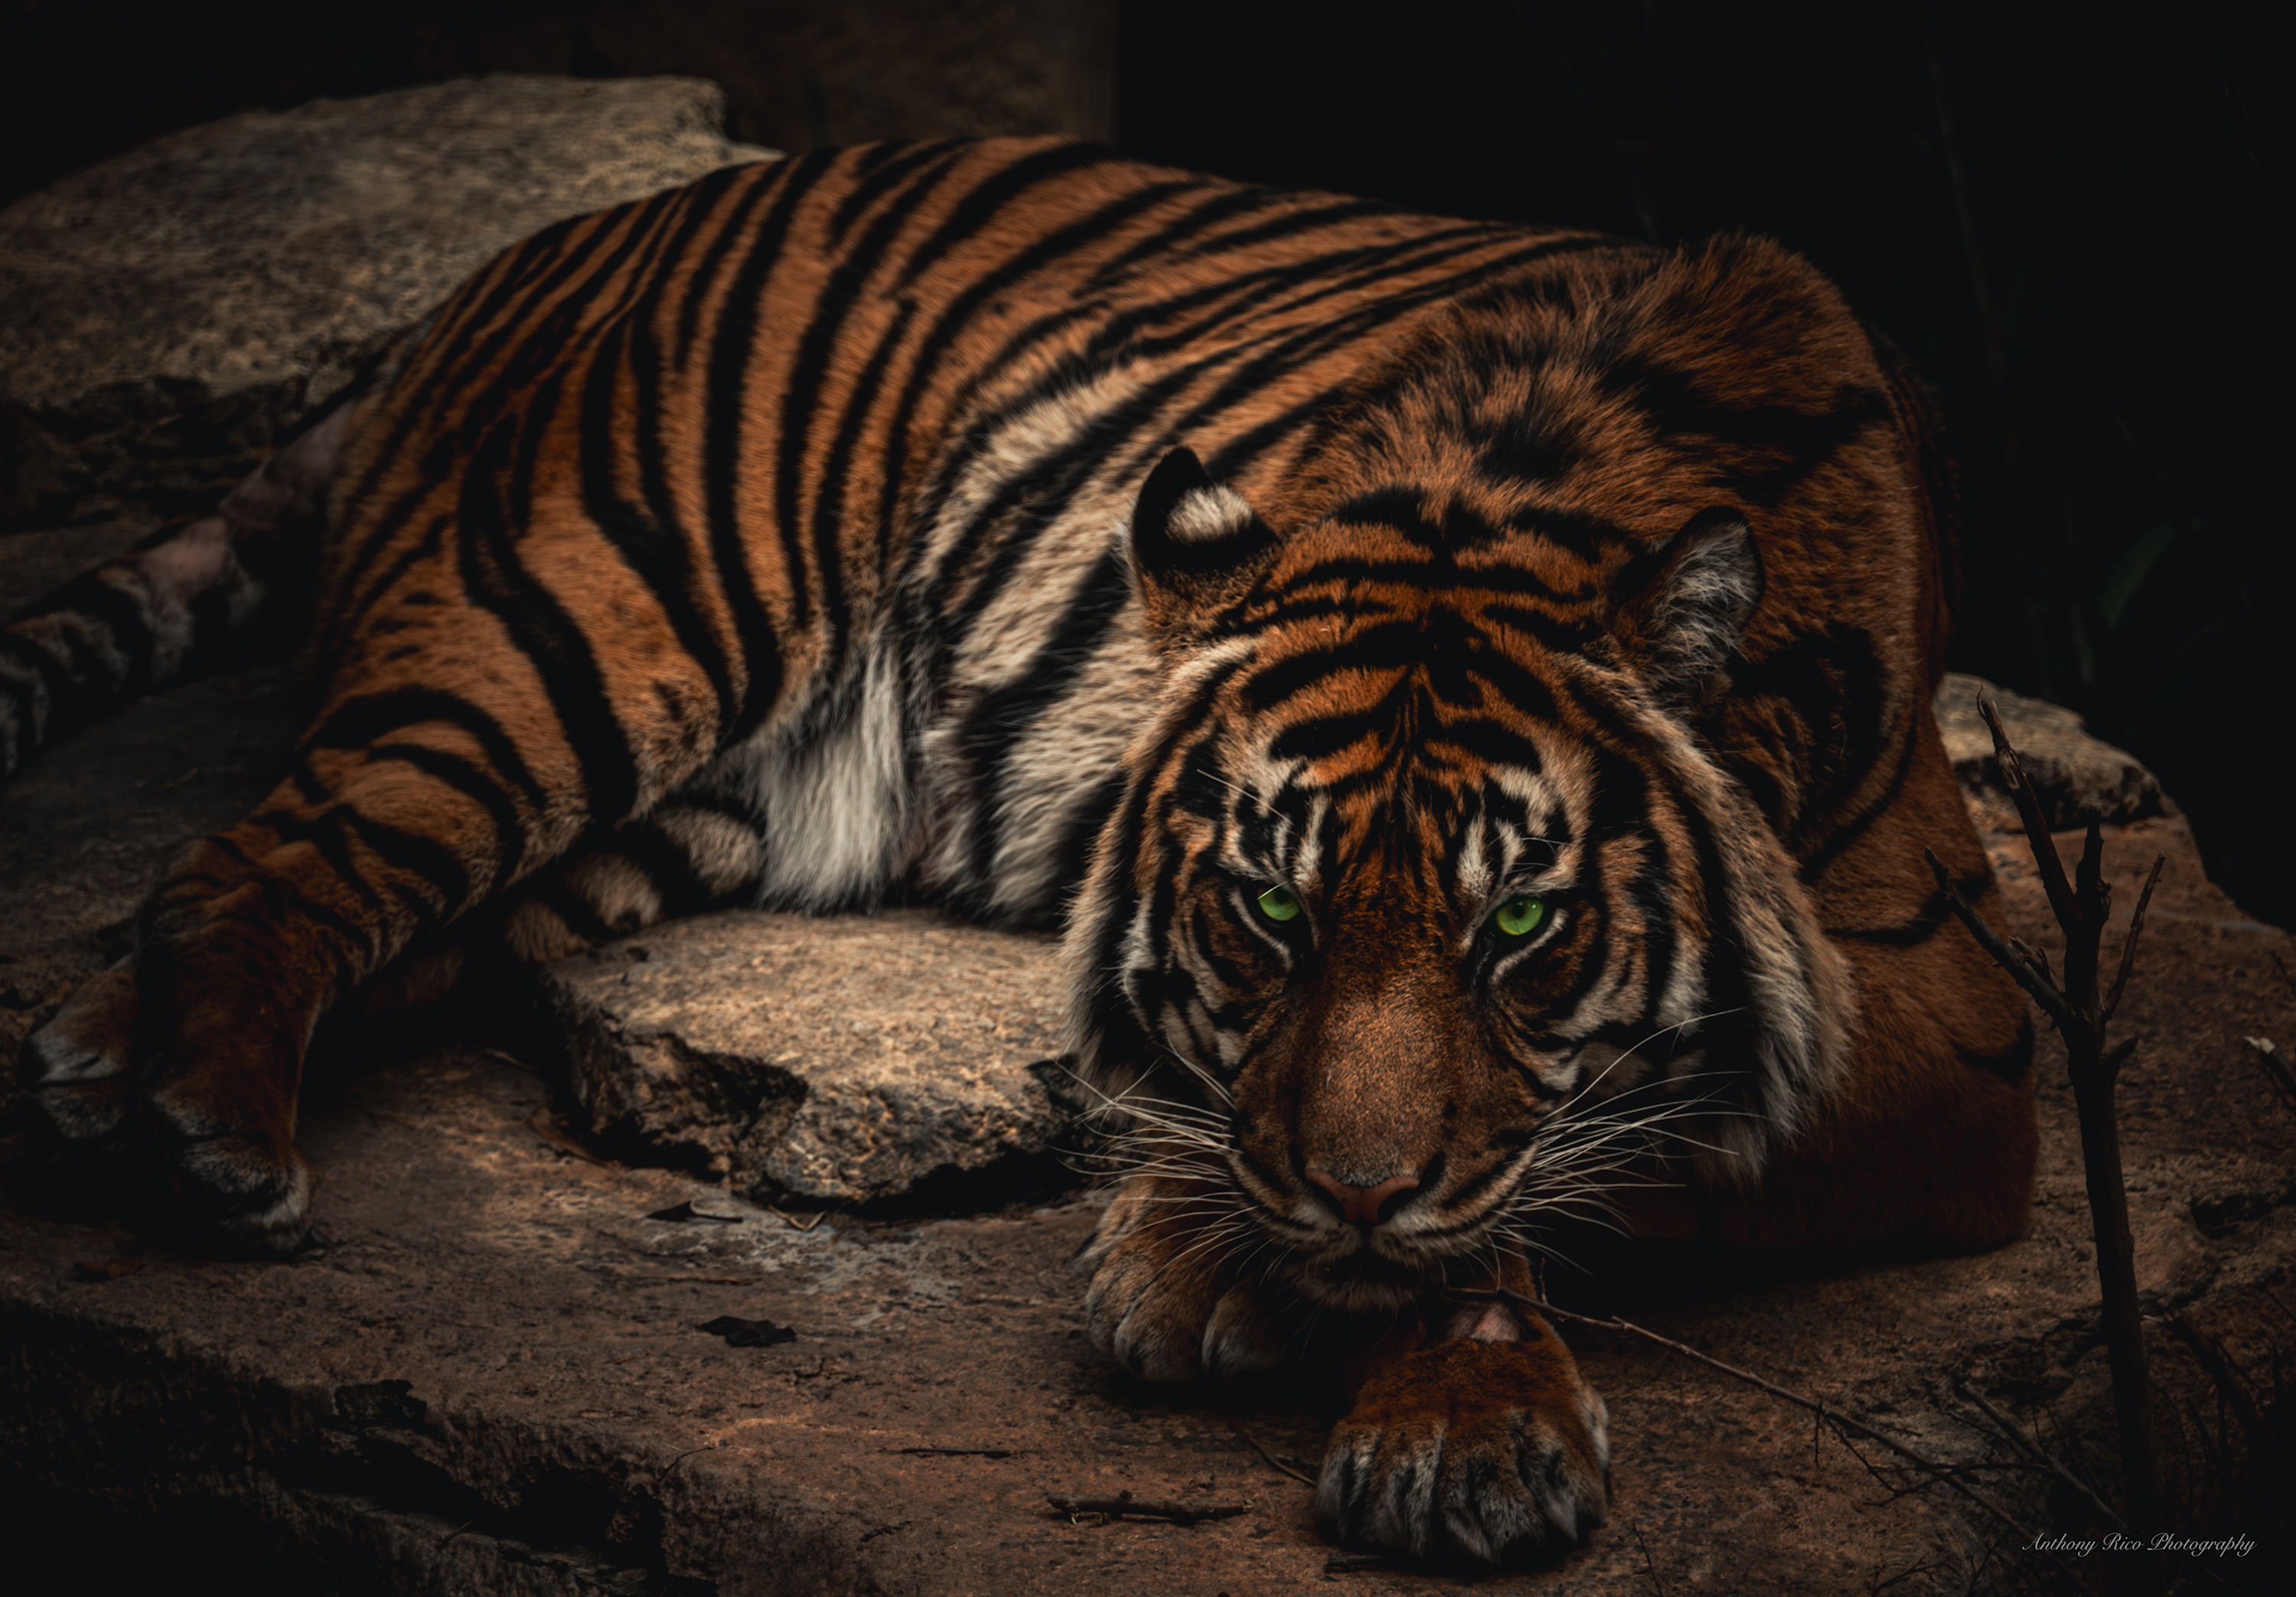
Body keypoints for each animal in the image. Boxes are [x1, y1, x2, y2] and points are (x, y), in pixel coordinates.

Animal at [0, 135, 2035, 1566]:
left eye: (1520, 921)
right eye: (1272, 904)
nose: (1345, 1198)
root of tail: (540, 245)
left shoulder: (1945, 1023)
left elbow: (1602, 1148)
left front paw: (1374, 1364)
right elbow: (1542, 1163)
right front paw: (1271, 1293)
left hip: (687, 814)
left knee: (354, 907)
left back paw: (108, 1068)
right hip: (577, 636)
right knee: (268, 854)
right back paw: (204, 1134)